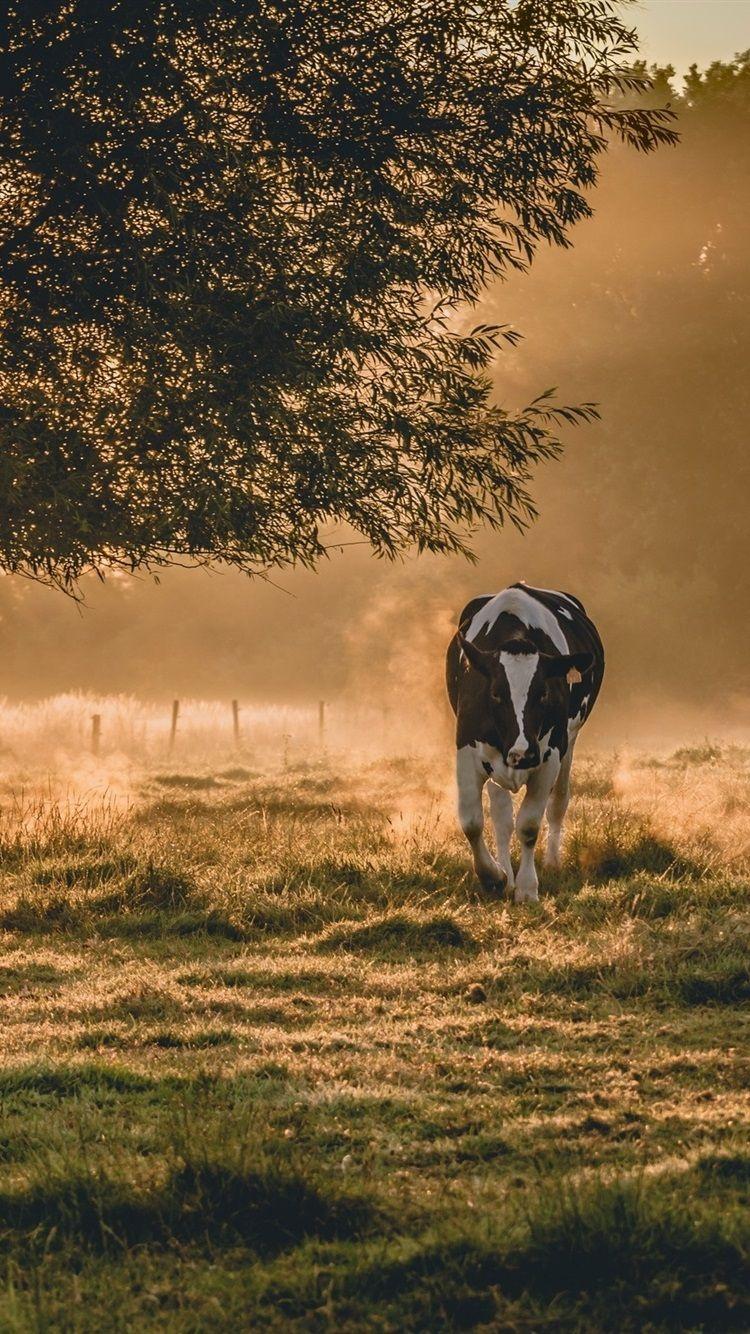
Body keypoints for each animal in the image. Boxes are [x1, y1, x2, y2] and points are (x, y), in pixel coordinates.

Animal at [445, 583, 604, 902]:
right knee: (502, 819)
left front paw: (527, 888)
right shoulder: (466, 751)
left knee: (558, 802)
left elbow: (529, 825)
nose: (523, 754)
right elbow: (472, 822)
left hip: (570, 742)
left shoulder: (550, 757)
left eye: (543, 693)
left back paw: (552, 861)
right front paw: (494, 877)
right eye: (495, 693)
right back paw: (506, 873)